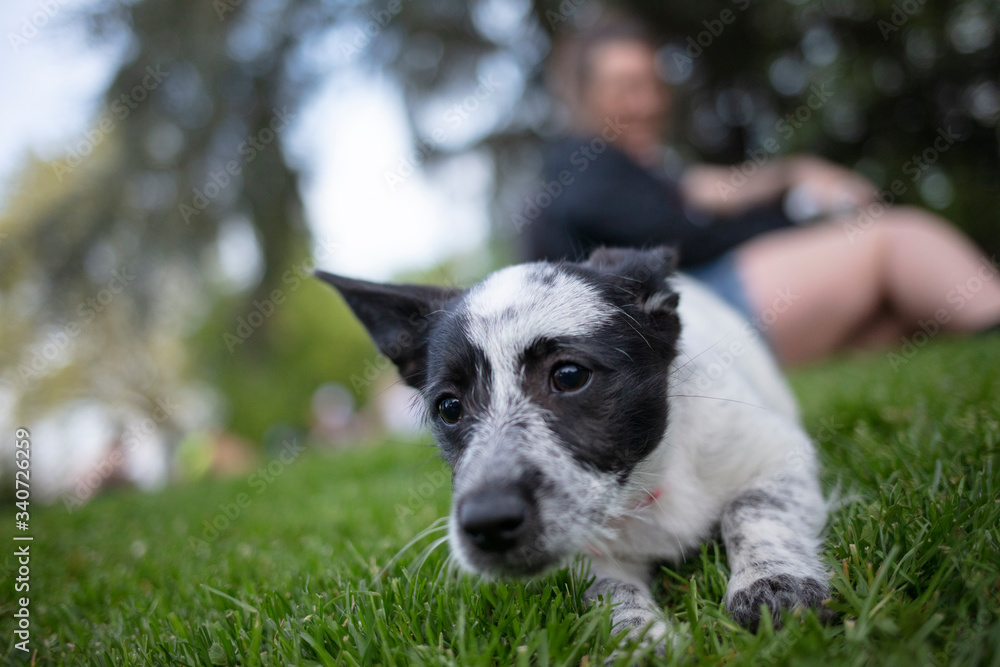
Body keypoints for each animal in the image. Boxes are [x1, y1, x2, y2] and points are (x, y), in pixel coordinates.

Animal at [314, 247, 828, 652]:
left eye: (568, 375)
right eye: (449, 407)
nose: (487, 524)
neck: (647, 489)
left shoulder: (780, 453)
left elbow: (752, 507)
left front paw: (771, 583)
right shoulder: (583, 553)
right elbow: (608, 587)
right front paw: (640, 638)